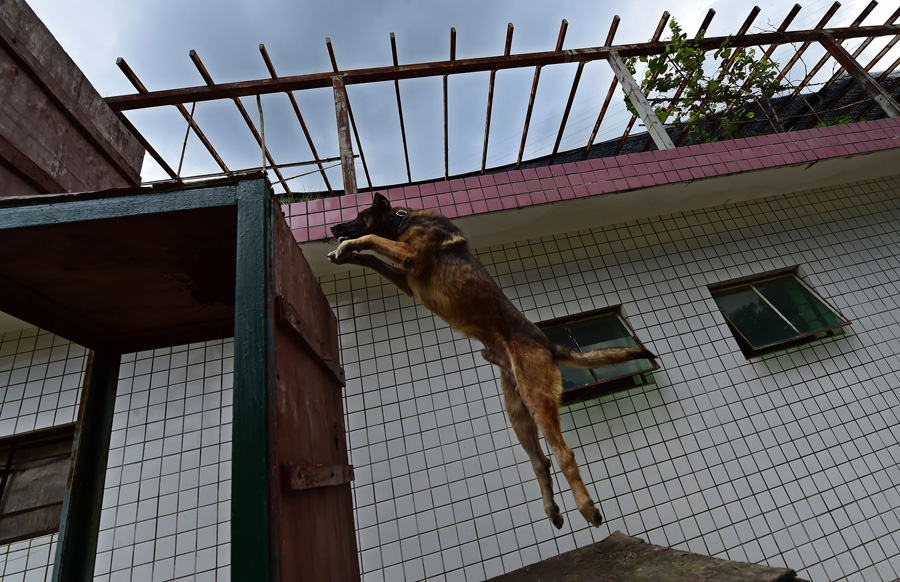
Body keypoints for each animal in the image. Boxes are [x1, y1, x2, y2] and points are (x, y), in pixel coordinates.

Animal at [326, 194, 652, 532]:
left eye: (359, 214)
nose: (333, 227)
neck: (401, 220)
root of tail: (546, 343)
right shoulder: (406, 276)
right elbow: (372, 259)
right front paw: (344, 253)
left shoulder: (410, 256)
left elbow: (372, 239)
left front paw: (348, 245)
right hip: (518, 413)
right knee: (541, 461)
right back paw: (552, 509)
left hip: (537, 399)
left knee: (563, 454)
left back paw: (587, 507)